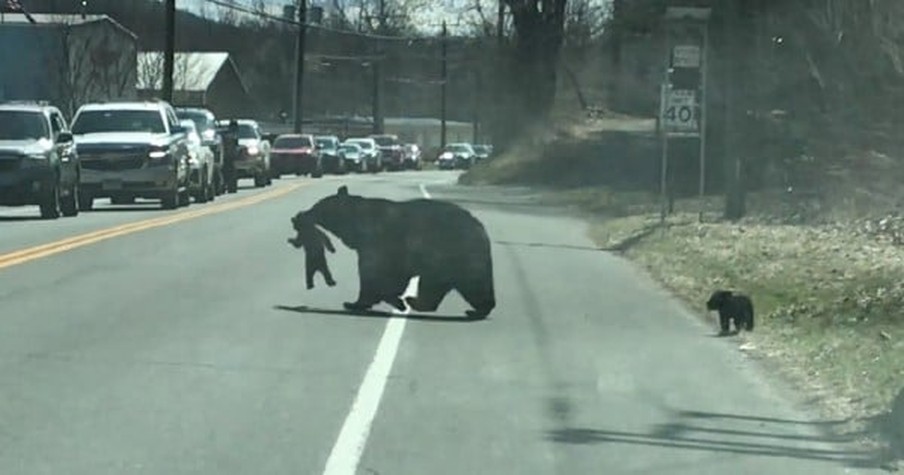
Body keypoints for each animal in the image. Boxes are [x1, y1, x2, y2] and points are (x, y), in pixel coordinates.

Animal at [292, 186, 494, 320]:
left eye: (317, 206)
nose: (298, 215)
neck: (357, 224)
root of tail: (482, 229)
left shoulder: (378, 242)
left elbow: (374, 274)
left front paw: (355, 303)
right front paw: (392, 299)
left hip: (454, 253)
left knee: (471, 285)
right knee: (441, 286)